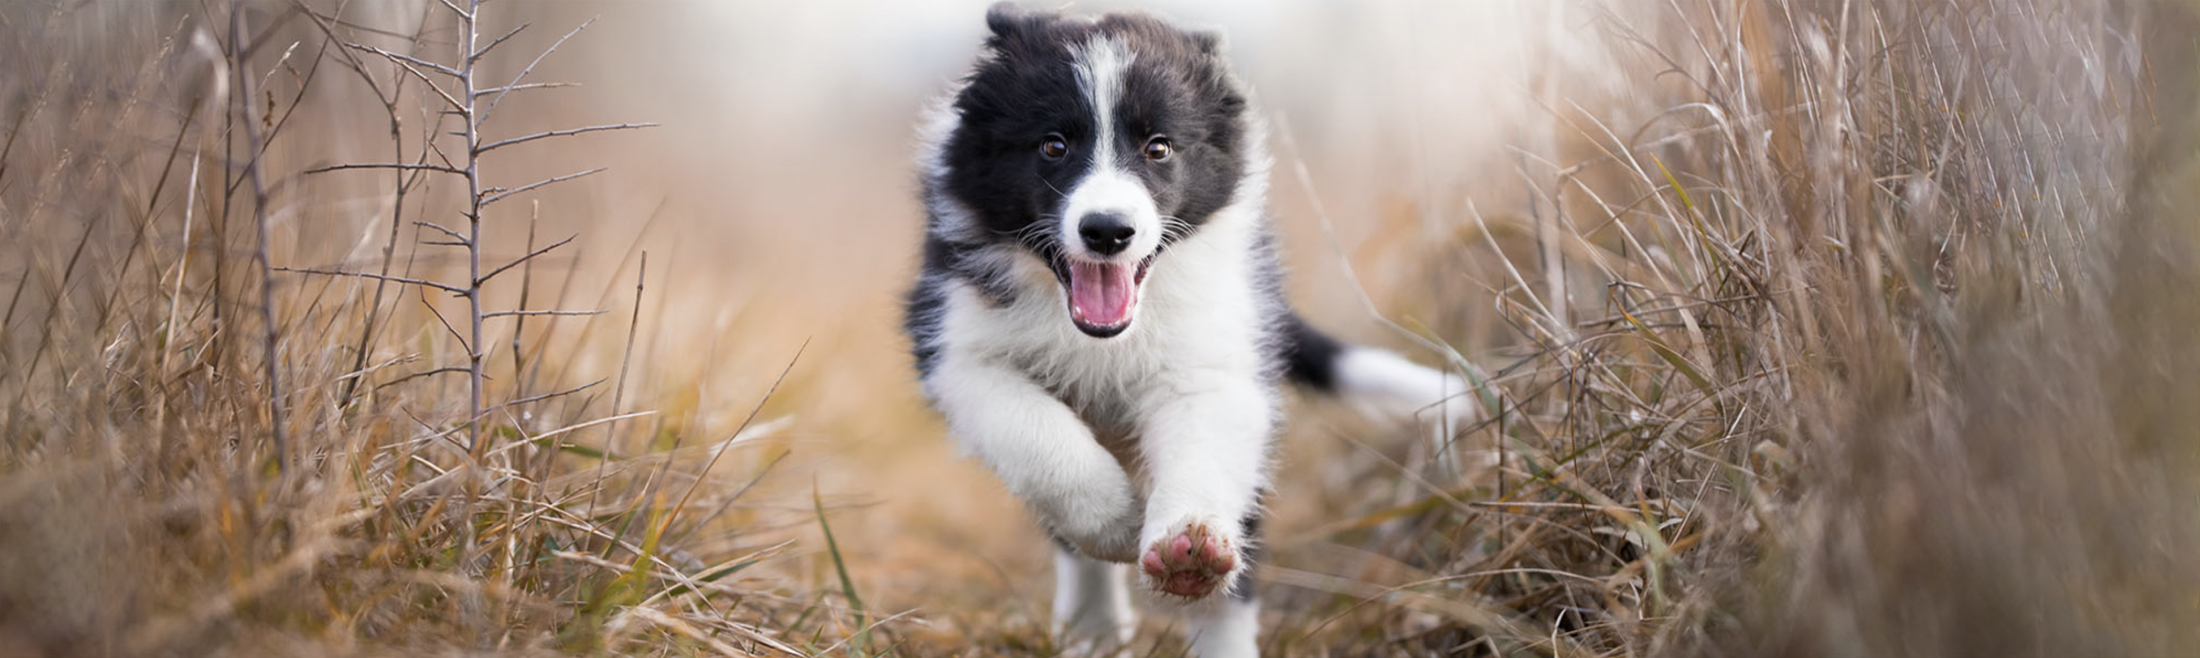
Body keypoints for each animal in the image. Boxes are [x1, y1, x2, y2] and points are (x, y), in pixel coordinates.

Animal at [902, 3, 1487, 655]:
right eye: (1053, 145)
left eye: (1158, 148)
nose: (1107, 231)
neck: (1103, 336)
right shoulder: (956, 345)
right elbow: (1038, 437)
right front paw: (1113, 521)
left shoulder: (1214, 360)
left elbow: (1203, 451)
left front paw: (1189, 542)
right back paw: (1093, 627)